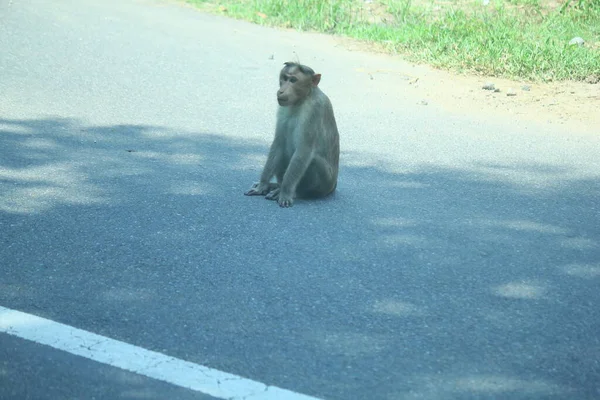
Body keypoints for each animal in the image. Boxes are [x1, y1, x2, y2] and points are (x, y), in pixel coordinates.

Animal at [243, 61, 338, 209]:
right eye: (284, 78)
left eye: (293, 80)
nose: (281, 90)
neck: (302, 99)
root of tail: (334, 187)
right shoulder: (282, 108)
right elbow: (278, 143)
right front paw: (262, 185)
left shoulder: (315, 109)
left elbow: (304, 150)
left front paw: (285, 193)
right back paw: (275, 185)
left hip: (325, 184)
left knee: (313, 160)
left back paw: (294, 192)